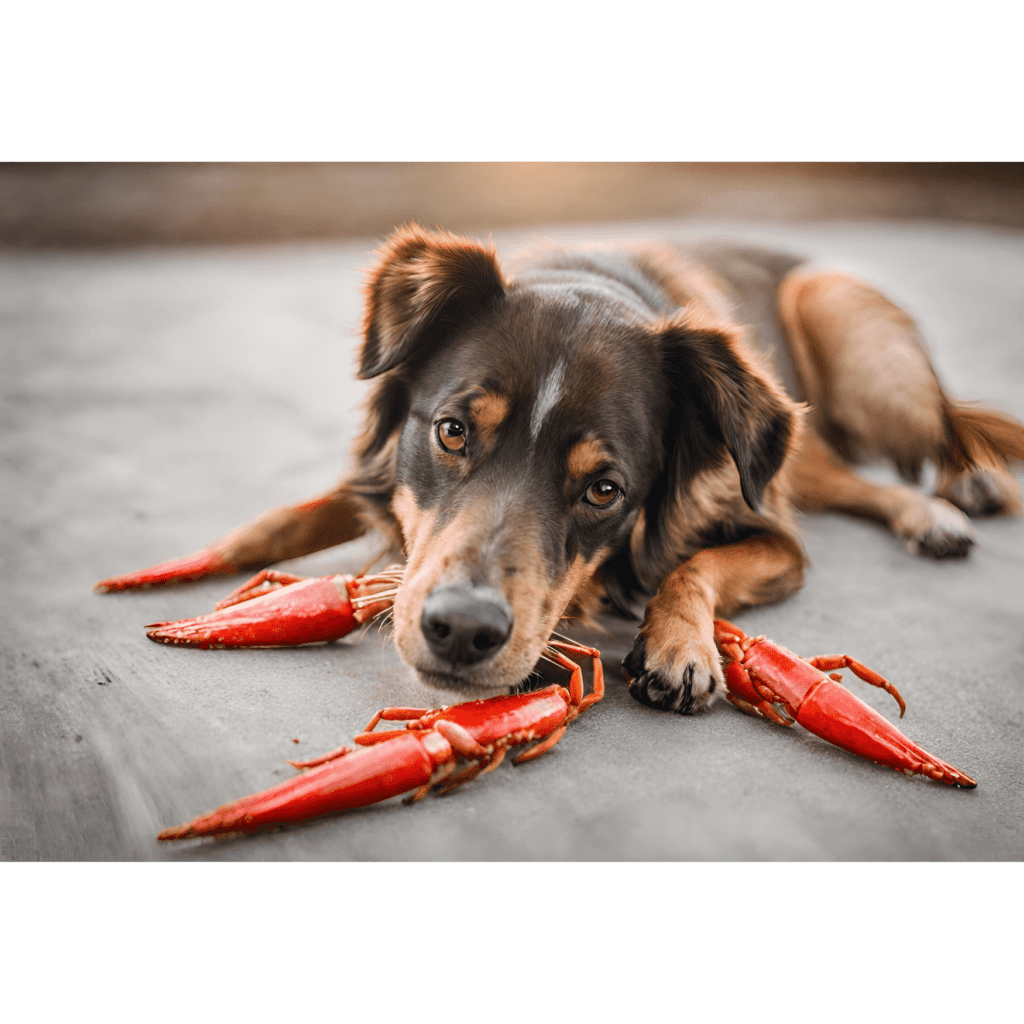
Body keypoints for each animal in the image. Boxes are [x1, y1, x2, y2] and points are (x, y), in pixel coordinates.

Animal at [110, 228, 1024, 716]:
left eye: (604, 490)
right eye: (451, 431)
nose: (462, 633)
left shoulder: (776, 537)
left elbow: (690, 567)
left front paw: (680, 644)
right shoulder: (379, 473)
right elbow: (292, 514)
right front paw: (181, 568)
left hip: (849, 344)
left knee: (921, 440)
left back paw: (955, 497)